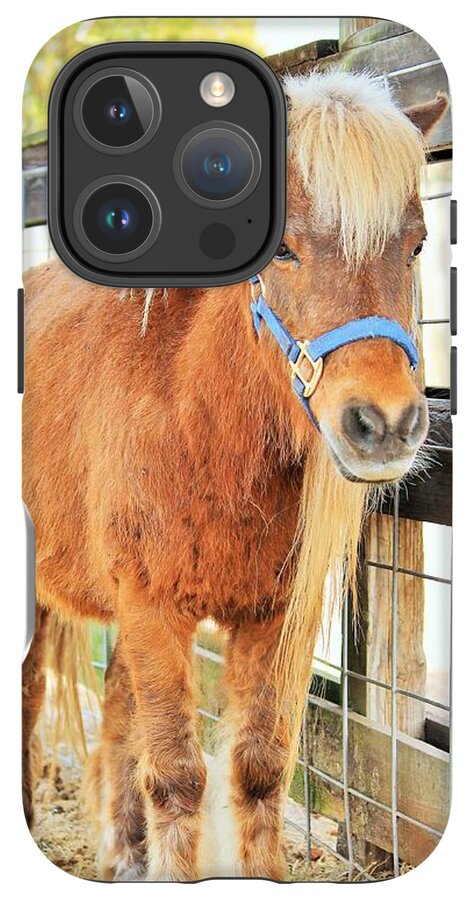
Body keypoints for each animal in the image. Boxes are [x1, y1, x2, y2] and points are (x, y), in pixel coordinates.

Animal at [22, 69, 448, 881]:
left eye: (415, 244)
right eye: (280, 249)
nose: (383, 424)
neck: (199, 420)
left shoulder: (275, 617)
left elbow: (257, 769)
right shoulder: (153, 608)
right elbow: (178, 776)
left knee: (115, 712)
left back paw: (123, 855)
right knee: (33, 689)